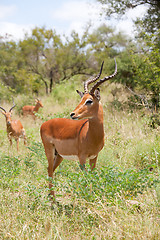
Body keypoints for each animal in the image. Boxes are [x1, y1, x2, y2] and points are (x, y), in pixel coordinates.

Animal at [40, 59, 117, 199]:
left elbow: (92, 175)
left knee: (51, 170)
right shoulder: (82, 158)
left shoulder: (94, 157)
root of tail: (45, 124)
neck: (92, 135)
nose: (73, 114)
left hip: (59, 155)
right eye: (82, 99)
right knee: (49, 170)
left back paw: (52, 197)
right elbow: (86, 177)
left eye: (89, 100)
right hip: (49, 151)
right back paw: (53, 200)